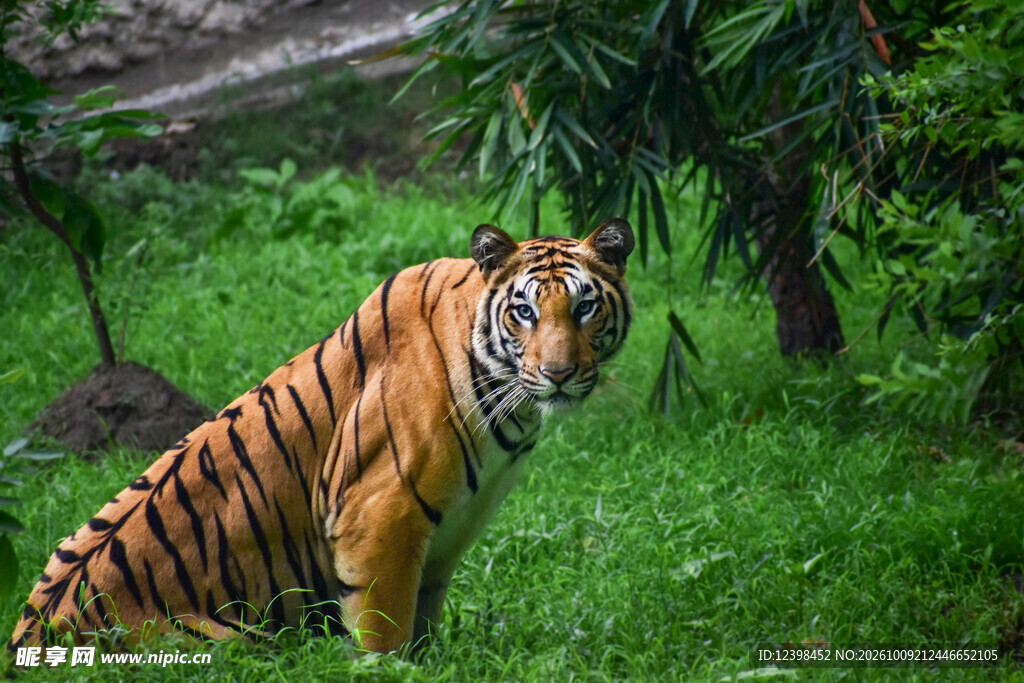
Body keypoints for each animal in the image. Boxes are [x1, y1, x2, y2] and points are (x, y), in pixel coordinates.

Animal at [7, 218, 634, 654]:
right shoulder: (379, 519)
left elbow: (425, 625)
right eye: (524, 312)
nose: (558, 373)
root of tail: (26, 642)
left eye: (584, 307)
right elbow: (384, 634)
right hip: (231, 640)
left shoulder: (445, 539)